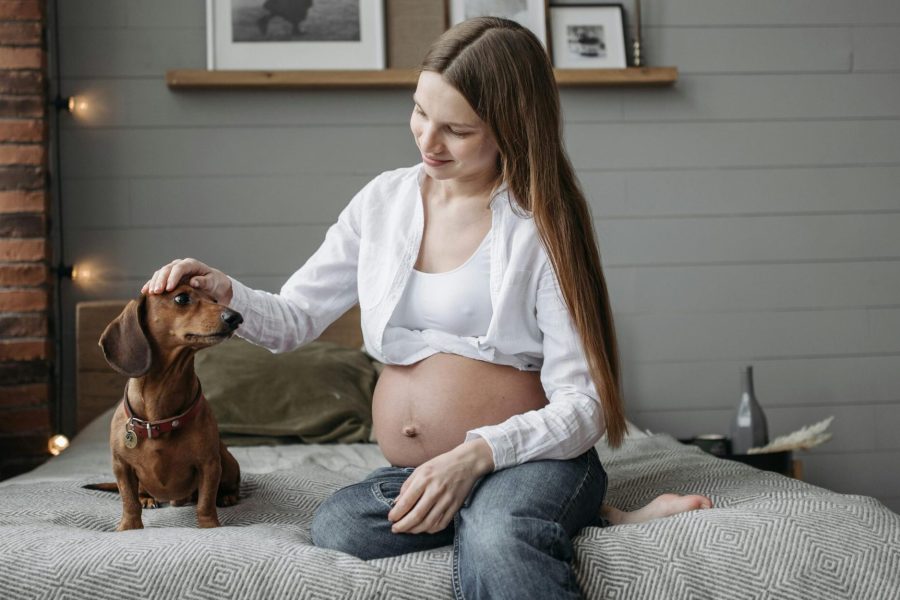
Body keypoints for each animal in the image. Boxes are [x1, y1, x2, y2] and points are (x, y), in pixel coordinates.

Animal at [97, 286, 243, 528]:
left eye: (214, 299)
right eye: (181, 298)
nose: (236, 317)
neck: (158, 419)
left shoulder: (209, 464)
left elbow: (205, 501)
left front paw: (209, 526)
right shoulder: (121, 466)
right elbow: (129, 501)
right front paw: (129, 527)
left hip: (228, 462)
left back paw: (227, 496)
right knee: (141, 493)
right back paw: (147, 499)